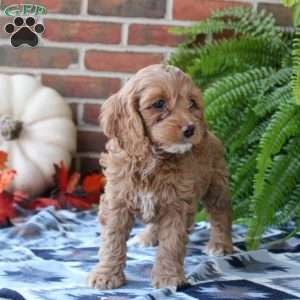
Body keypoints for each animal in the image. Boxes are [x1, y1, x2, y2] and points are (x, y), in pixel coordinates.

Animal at [86, 64, 232, 290]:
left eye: (192, 103)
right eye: (159, 104)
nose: (191, 129)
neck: (153, 157)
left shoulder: (177, 205)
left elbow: (171, 243)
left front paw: (168, 277)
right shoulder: (117, 201)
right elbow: (112, 239)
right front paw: (106, 275)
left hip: (216, 184)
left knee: (221, 213)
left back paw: (220, 244)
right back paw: (147, 237)